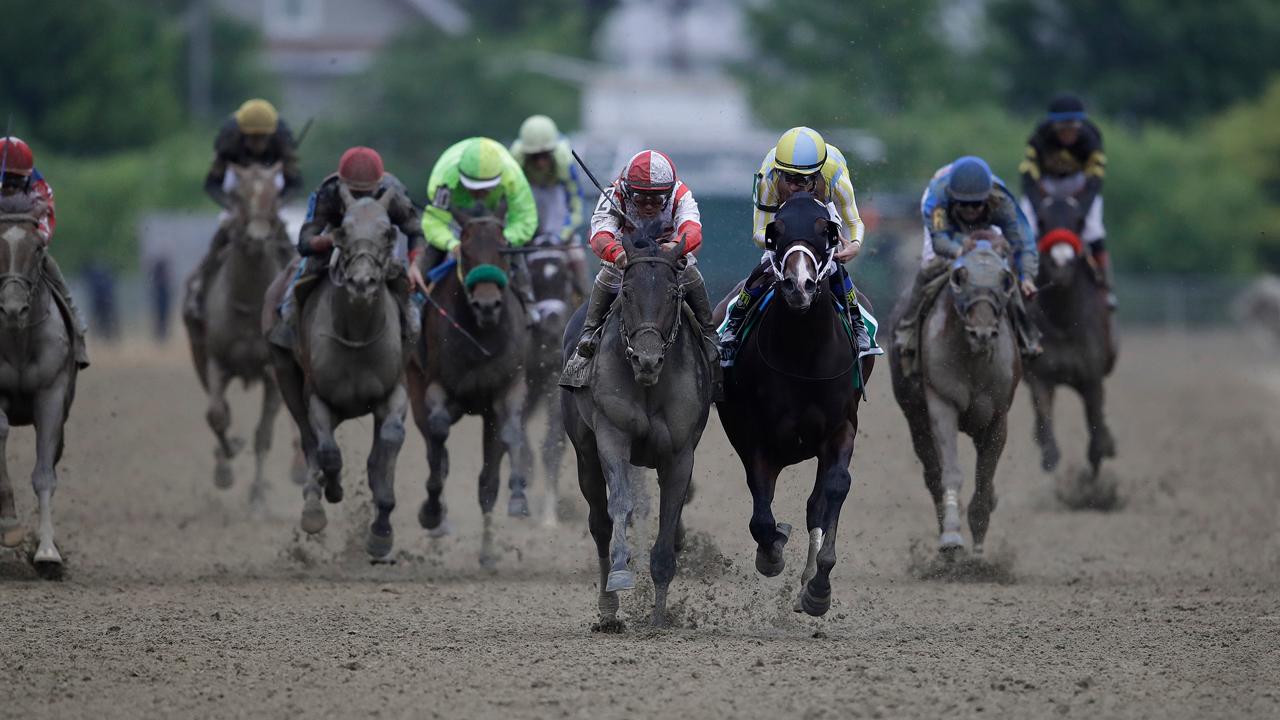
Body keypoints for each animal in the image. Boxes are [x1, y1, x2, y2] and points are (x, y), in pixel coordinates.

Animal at [184, 161, 291, 504]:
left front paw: (257, 495)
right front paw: (226, 464)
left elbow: (263, 435)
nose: (257, 237)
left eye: (274, 196)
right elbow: (217, 414)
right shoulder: (216, 362)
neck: (249, 303)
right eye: (239, 197)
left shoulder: (273, 372)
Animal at [266, 188, 409, 558]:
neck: (357, 334)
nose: (362, 282)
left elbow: (389, 441)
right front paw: (332, 490)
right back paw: (314, 507)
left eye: (387, 233)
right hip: (285, 373)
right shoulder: (318, 396)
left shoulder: (394, 391)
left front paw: (381, 529)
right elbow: (327, 451)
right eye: (342, 231)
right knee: (308, 441)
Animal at [407, 207, 532, 566]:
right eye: (465, 249)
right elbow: (437, 433)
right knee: (435, 448)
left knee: (487, 482)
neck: (480, 338)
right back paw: (436, 515)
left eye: (504, 248)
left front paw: (518, 498)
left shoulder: (507, 387)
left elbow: (510, 433)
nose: (487, 305)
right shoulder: (437, 386)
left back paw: (487, 552)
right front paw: (431, 511)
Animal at [716, 193, 875, 614]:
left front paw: (819, 586)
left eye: (826, 230)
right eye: (777, 231)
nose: (798, 286)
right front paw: (771, 552)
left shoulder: (841, 427)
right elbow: (761, 513)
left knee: (816, 502)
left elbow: (833, 490)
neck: (803, 354)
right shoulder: (753, 434)